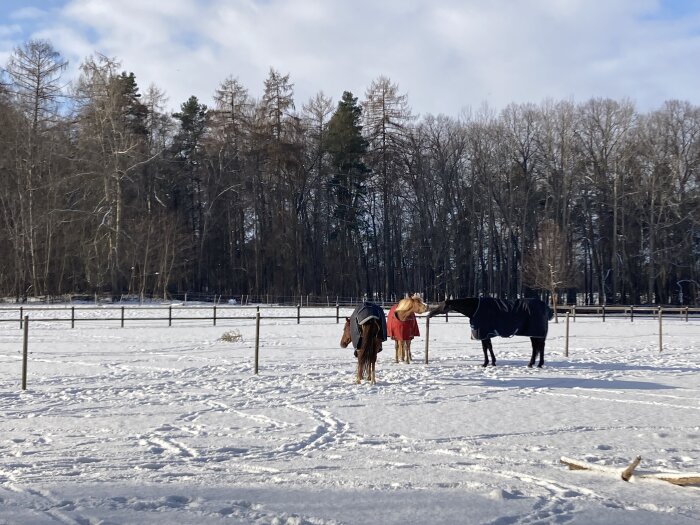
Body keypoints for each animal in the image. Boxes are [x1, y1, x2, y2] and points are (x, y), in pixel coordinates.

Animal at [424, 296, 556, 366]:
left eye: (441, 306)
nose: (429, 314)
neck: (475, 308)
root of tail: (545, 306)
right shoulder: (486, 334)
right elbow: (488, 347)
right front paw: (492, 362)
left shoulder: (484, 333)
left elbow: (486, 348)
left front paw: (487, 363)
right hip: (534, 334)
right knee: (537, 347)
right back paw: (535, 364)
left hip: (535, 333)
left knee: (539, 347)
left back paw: (536, 364)